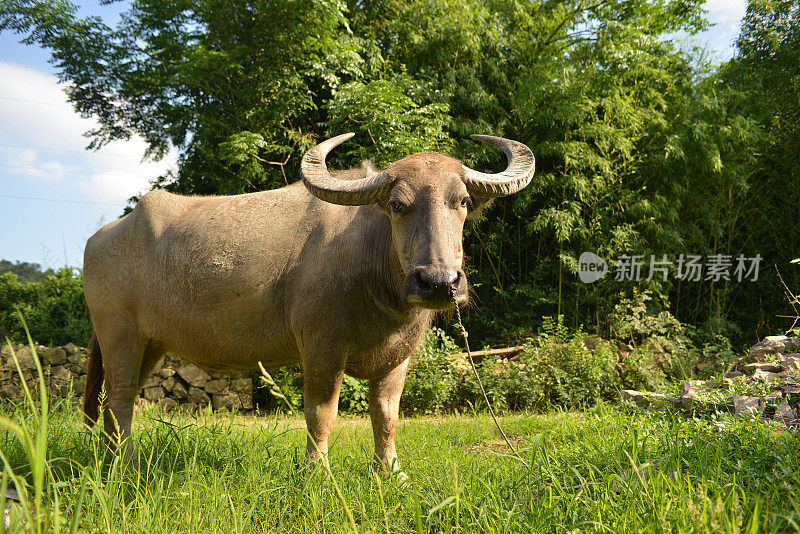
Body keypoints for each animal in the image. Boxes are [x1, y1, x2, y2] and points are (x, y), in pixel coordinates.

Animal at [81, 134, 536, 474]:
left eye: (462, 202)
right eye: (396, 205)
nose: (439, 282)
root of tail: (101, 237)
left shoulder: (398, 356)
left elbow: (387, 415)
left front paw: (391, 472)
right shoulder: (321, 346)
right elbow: (322, 413)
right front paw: (318, 472)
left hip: (151, 345)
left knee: (111, 403)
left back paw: (109, 460)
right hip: (119, 335)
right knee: (120, 400)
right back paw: (129, 465)